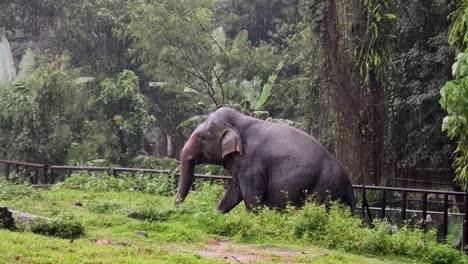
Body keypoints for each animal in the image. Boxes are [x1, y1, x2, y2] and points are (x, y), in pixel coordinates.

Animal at [175, 106, 354, 212]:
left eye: (201, 138)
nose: (176, 209)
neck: (241, 119)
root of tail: (348, 181)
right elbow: (233, 194)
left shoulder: (252, 164)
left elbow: (252, 200)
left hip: (327, 189)